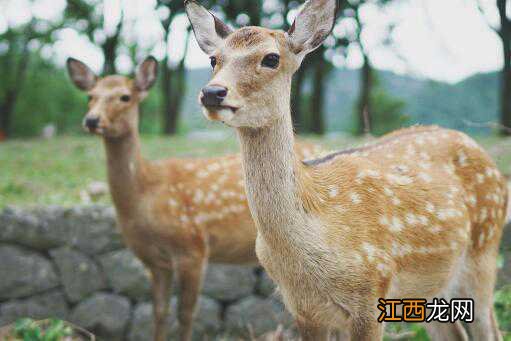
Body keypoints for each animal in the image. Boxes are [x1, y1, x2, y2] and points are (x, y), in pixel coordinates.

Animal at [66, 56, 322, 340]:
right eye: (90, 96)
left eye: (125, 97)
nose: (91, 120)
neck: (145, 195)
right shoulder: (154, 260)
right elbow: (159, 312)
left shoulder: (193, 247)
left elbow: (186, 314)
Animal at [186, 1, 510, 338]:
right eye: (214, 59)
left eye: (271, 58)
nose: (212, 92)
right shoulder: (302, 308)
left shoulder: (372, 288)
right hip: (433, 285)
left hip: (483, 253)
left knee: (491, 328)